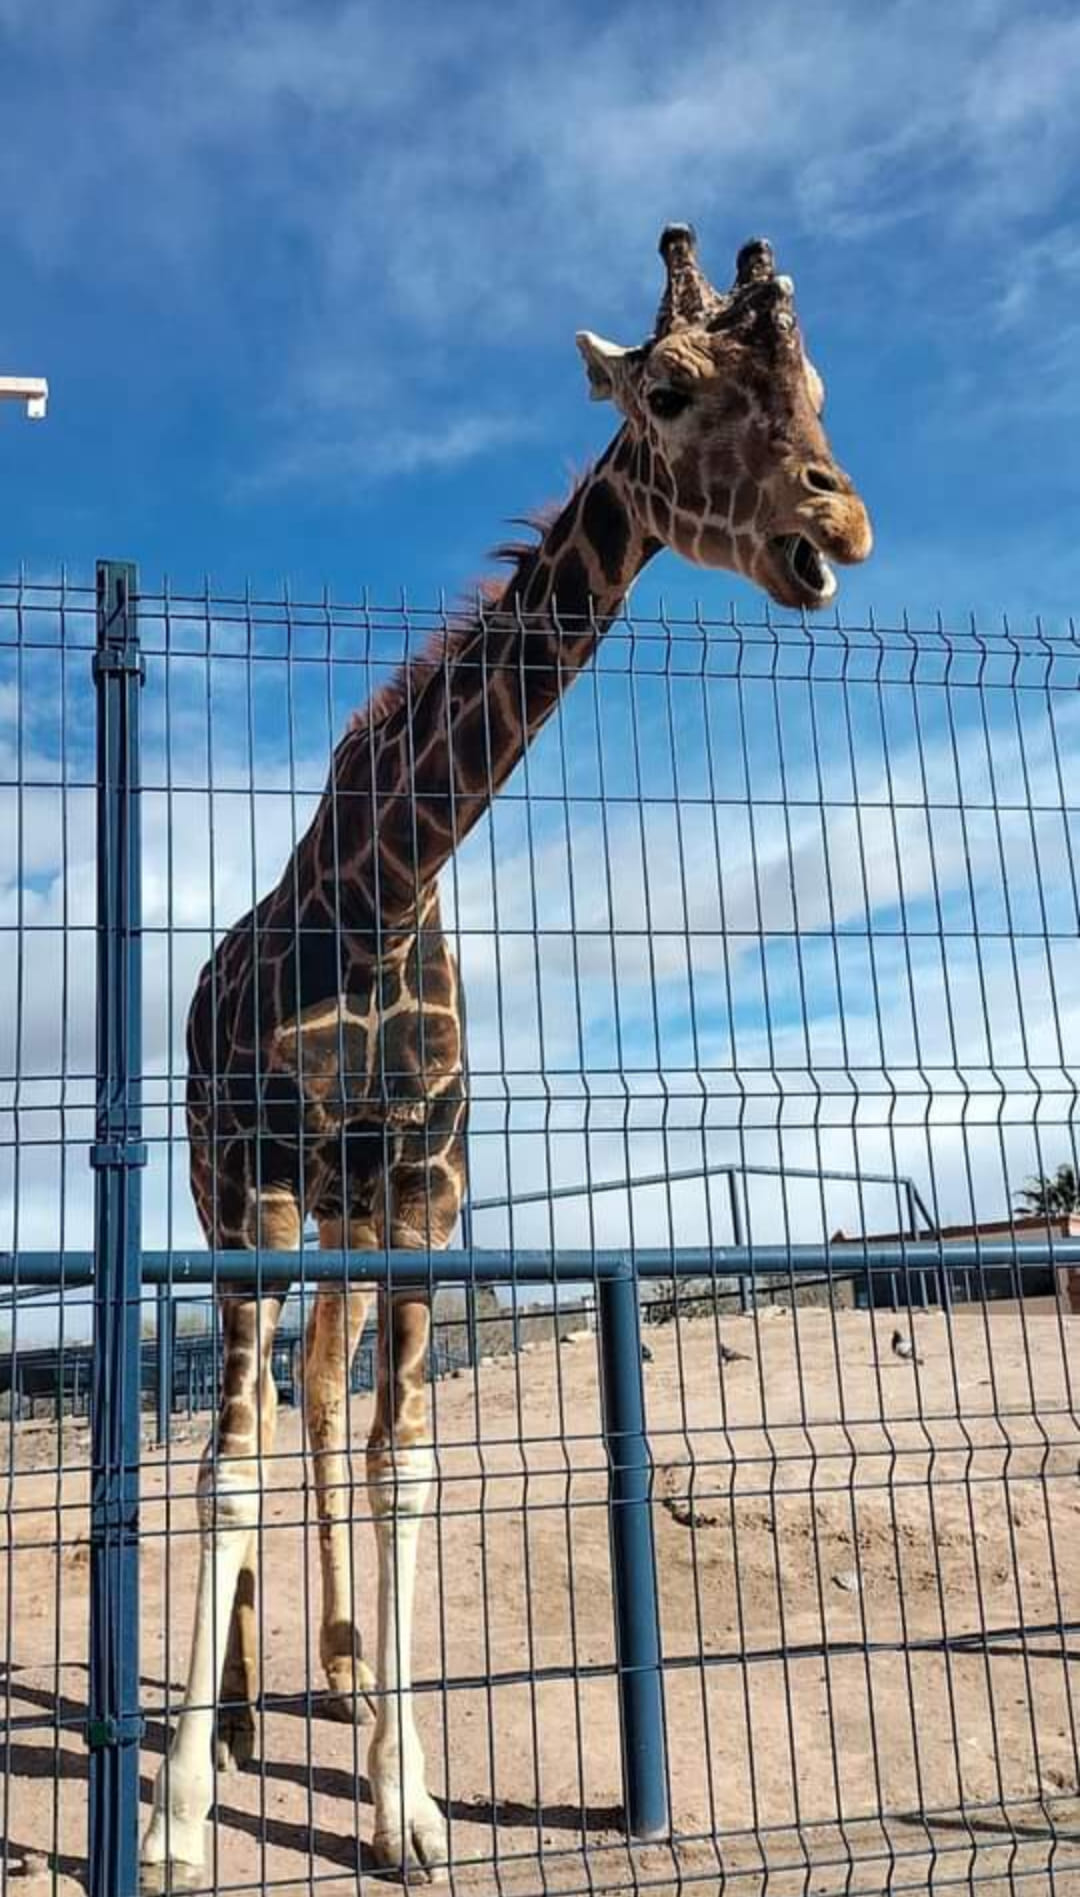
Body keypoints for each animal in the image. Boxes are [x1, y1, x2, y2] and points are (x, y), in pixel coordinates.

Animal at [141, 221, 869, 1881]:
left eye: (814, 390)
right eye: (668, 390)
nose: (840, 519)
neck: (382, 892)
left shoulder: (422, 1193)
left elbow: (405, 1458)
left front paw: (409, 1800)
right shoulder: (263, 1189)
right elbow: (222, 1465)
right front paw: (179, 1822)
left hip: (342, 1219)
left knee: (322, 1395)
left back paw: (343, 1676)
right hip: (230, 1205)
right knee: (245, 1419)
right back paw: (243, 1708)